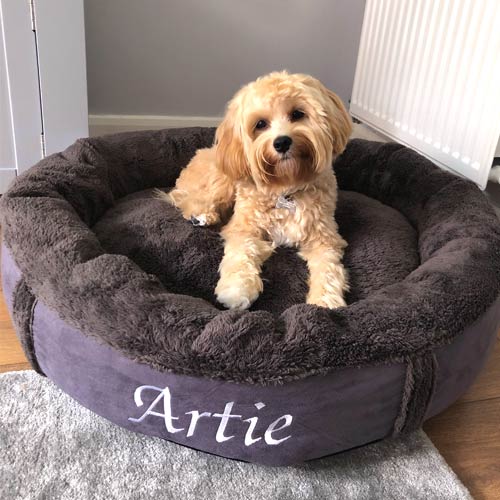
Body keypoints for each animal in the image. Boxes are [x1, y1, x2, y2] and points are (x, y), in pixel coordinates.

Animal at [163, 72, 352, 310]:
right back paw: (201, 215)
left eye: (297, 114)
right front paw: (236, 289)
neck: (286, 188)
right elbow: (241, 254)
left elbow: (328, 270)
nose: (282, 142)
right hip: (221, 182)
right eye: (261, 124)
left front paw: (325, 301)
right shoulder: (244, 228)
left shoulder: (324, 239)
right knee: (189, 199)